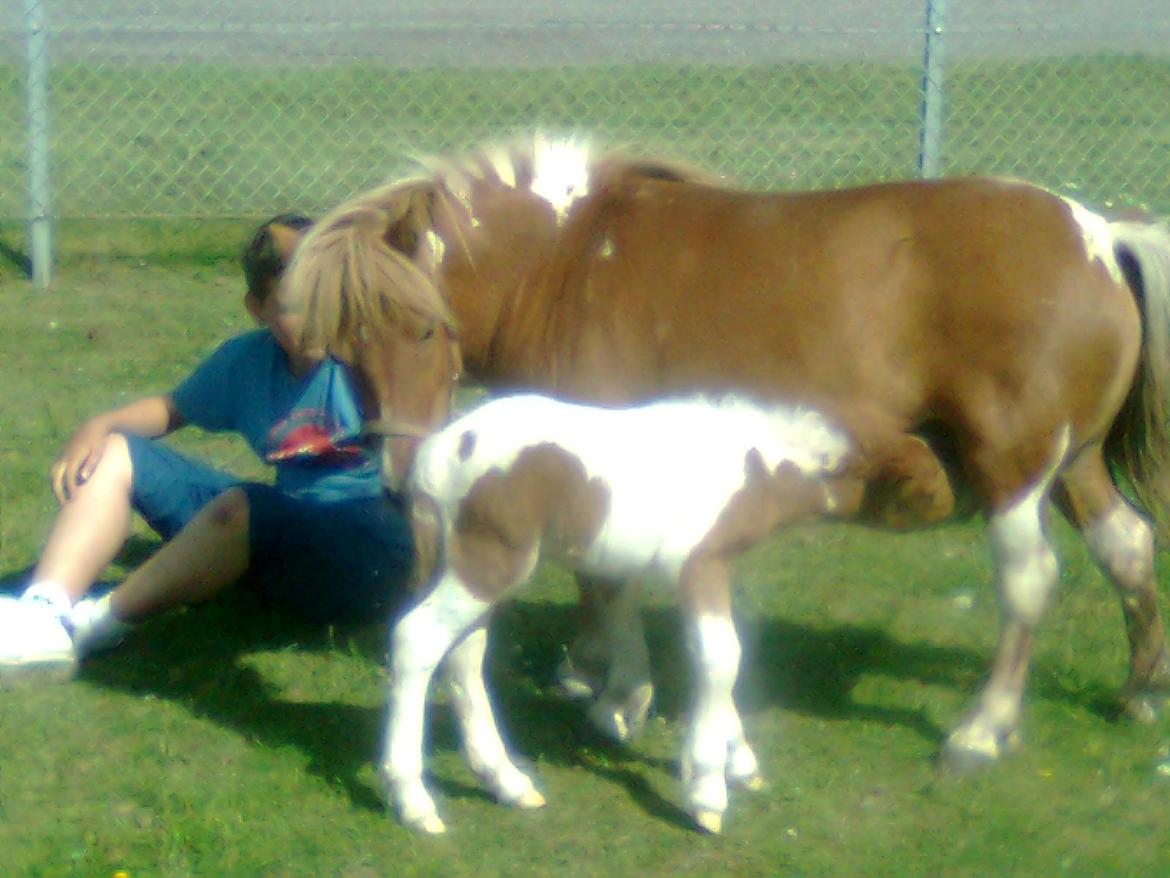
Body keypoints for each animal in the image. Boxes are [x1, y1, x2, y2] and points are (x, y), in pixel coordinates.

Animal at [280, 135, 1170, 767]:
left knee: (1028, 584)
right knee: (1127, 546)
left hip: (1014, 470)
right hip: (1075, 464)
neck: (567, 261)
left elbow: (608, 577)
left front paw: (618, 693)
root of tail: (1098, 233)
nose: (400, 480)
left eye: (425, 329)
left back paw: (983, 728)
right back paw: (1137, 691)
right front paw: (590, 669)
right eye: (343, 350)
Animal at [383, 395, 861, 833]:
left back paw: (506, 782)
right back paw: (413, 799)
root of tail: (437, 454)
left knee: (463, 657)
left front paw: (738, 762)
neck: (753, 467)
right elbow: (722, 658)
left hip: (472, 572)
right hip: (489, 564)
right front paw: (708, 791)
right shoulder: (699, 566)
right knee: (417, 639)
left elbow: (705, 656)